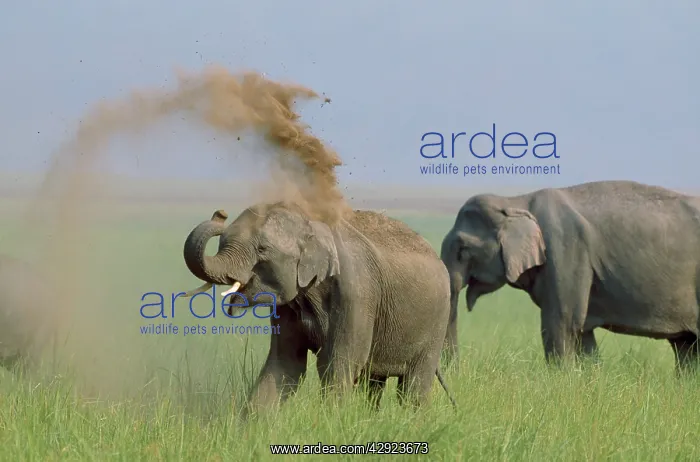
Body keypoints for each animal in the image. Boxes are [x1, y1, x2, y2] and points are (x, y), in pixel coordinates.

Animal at [180, 203, 456, 415]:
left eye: (262, 249)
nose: (221, 214)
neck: (311, 223)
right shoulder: (288, 304)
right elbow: (285, 364)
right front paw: (250, 432)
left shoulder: (357, 293)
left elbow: (339, 363)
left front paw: (331, 424)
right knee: (373, 383)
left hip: (437, 321)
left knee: (413, 387)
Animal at [440, 180, 700, 372]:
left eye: (462, 249)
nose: (457, 371)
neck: (517, 201)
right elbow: (583, 332)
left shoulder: (566, 250)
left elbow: (563, 324)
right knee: (686, 347)